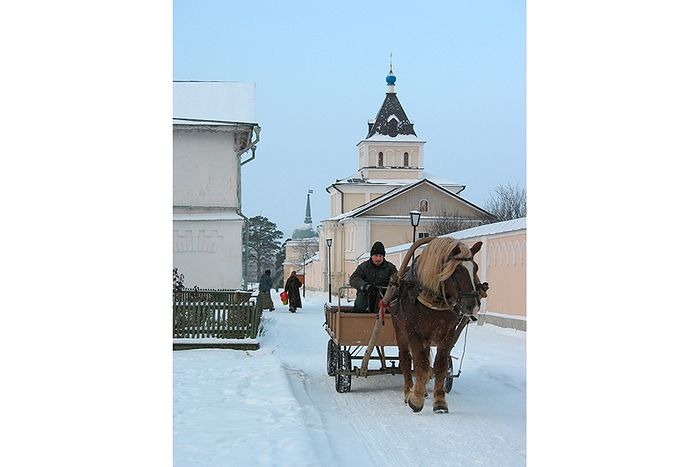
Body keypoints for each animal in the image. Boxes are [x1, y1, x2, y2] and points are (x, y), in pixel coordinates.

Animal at [386, 238, 490, 414]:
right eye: (457, 271)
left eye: (475, 268)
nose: (473, 306)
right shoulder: (413, 333)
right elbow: (420, 365)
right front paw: (416, 399)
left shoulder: (447, 333)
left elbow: (439, 365)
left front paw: (440, 401)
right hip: (400, 331)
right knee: (406, 360)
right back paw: (408, 391)